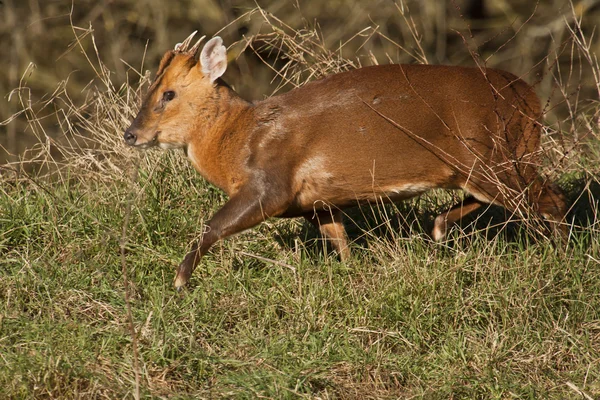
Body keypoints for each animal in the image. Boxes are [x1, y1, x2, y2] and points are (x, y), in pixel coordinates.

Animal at [123, 31, 568, 288]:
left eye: (168, 94)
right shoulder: (316, 202)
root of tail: (529, 98)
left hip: (491, 153)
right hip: (484, 161)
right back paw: (440, 229)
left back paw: (563, 252)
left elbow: (213, 224)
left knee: (549, 198)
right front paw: (351, 272)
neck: (241, 137)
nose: (131, 134)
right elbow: (339, 241)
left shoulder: (271, 184)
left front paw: (180, 280)